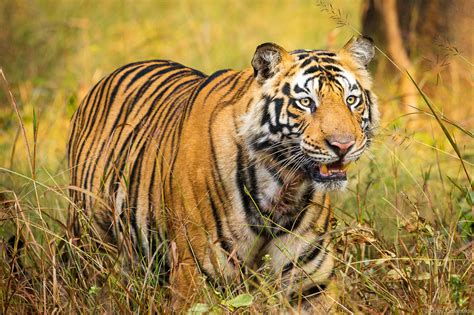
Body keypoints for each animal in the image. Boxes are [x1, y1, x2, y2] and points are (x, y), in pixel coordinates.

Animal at [66, 35, 378, 312]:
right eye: (305, 103)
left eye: (351, 100)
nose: (343, 145)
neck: (284, 188)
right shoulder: (195, 275)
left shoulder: (310, 285)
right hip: (90, 241)